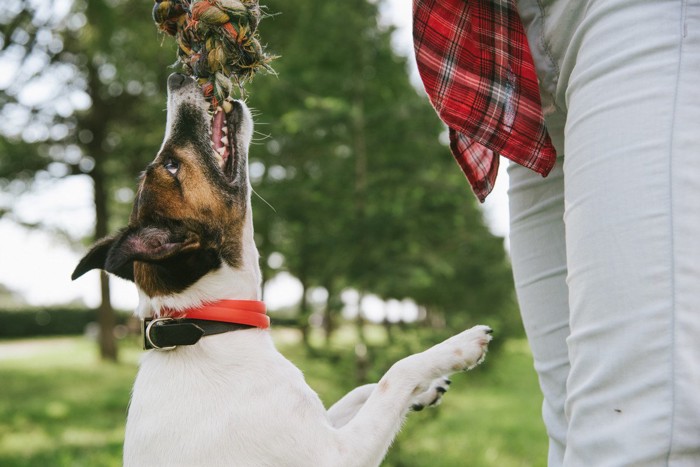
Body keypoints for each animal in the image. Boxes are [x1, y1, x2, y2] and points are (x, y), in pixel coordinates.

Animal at [72, 74, 492, 467]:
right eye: (172, 166)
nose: (177, 77)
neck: (206, 323)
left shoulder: (321, 423)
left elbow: (359, 390)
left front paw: (426, 389)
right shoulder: (341, 454)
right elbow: (396, 373)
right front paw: (461, 346)